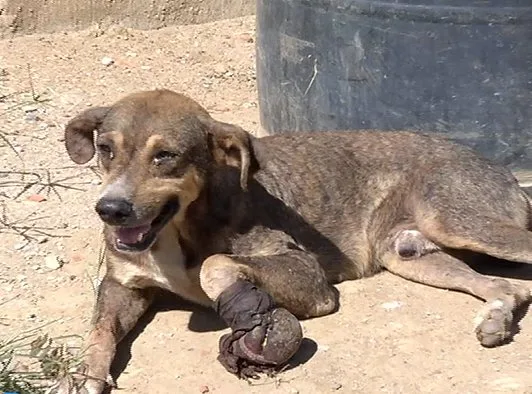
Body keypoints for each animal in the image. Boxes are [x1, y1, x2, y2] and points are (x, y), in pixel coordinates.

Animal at [63, 89, 532, 394]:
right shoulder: (122, 285)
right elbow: (99, 331)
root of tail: (502, 170)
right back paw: (496, 319)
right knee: (506, 286)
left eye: (165, 156)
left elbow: (216, 263)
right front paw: (85, 375)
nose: (110, 210)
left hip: (457, 221)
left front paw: (246, 309)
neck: (179, 229)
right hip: (409, 254)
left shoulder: (309, 276)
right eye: (105, 149)